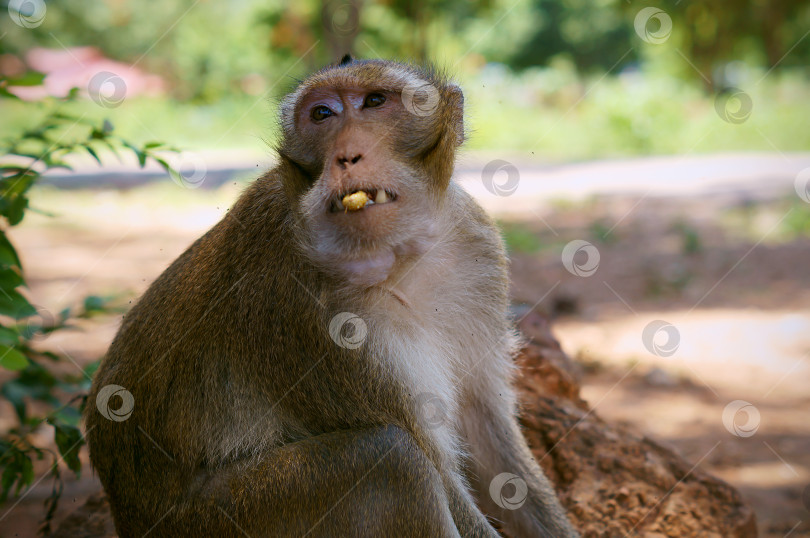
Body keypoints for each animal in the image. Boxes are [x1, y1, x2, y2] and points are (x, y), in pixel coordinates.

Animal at [85, 55, 576, 536]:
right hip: (225, 518)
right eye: (322, 114)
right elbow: (431, 462)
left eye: (375, 101)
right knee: (391, 460)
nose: (346, 155)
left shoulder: (479, 245)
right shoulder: (308, 313)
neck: (401, 256)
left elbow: (488, 431)